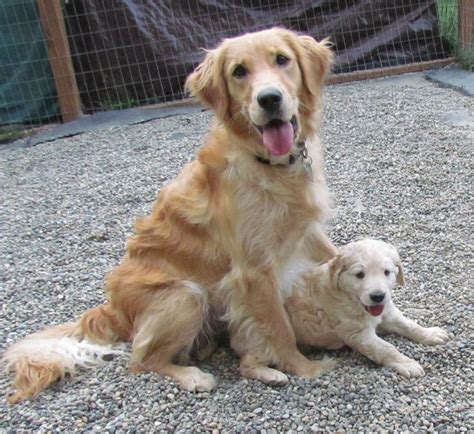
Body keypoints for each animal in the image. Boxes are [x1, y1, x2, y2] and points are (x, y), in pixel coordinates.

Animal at [3, 27, 336, 402]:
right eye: (239, 71)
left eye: (282, 59)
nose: (269, 99)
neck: (269, 164)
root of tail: (113, 309)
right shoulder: (253, 269)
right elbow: (280, 328)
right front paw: (305, 368)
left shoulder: (306, 231)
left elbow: (334, 254)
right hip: (185, 296)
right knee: (141, 359)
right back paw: (193, 375)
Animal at [286, 239, 448, 378]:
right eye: (359, 274)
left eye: (386, 272)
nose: (378, 296)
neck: (352, 300)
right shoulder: (358, 334)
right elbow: (387, 348)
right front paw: (407, 363)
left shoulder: (387, 313)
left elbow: (409, 325)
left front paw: (430, 334)